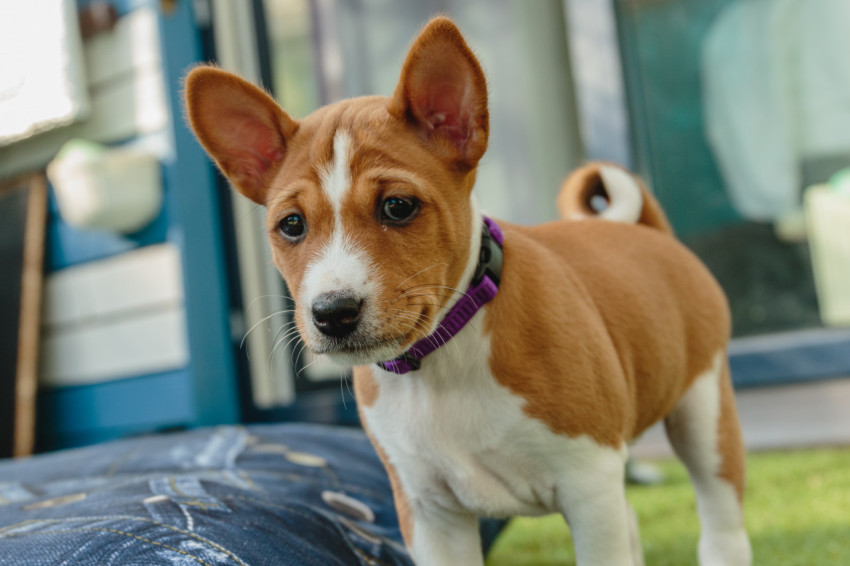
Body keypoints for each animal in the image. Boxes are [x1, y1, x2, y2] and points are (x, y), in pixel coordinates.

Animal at [184, 15, 748, 564]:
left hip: (704, 414)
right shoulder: (429, 512)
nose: (333, 312)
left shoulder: (589, 483)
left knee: (721, 522)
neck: (441, 362)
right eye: (292, 225)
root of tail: (646, 231)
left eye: (398, 207)